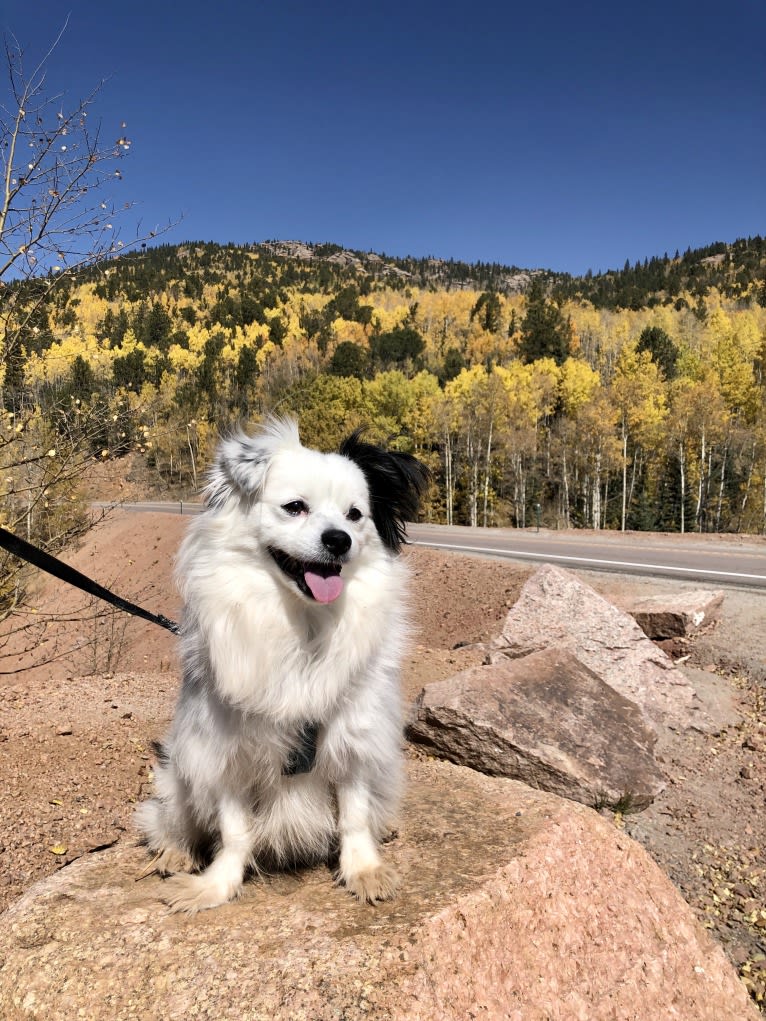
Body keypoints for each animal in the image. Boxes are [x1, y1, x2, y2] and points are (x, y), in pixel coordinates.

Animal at [136, 418, 433, 914]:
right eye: (295, 508)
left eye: (355, 515)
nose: (338, 540)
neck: (304, 627)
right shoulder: (224, 752)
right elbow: (234, 833)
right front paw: (216, 886)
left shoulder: (353, 738)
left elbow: (354, 815)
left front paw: (363, 870)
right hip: (180, 768)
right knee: (174, 816)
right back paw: (176, 852)